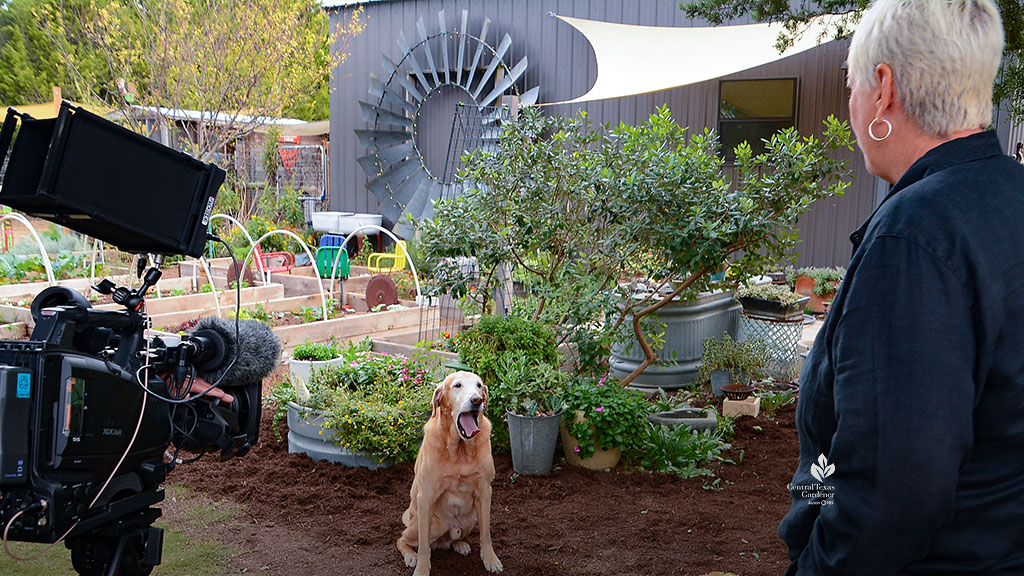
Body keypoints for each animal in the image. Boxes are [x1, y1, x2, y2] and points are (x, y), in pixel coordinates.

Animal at [395, 368, 499, 569]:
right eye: (457, 385)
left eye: (479, 385)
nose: (477, 400)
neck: (459, 450)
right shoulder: (426, 495)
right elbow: (424, 547)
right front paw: (421, 568)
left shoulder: (484, 491)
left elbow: (486, 533)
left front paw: (490, 559)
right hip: (434, 523)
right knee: (403, 539)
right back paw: (410, 555)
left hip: (471, 519)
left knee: (453, 540)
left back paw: (460, 545)